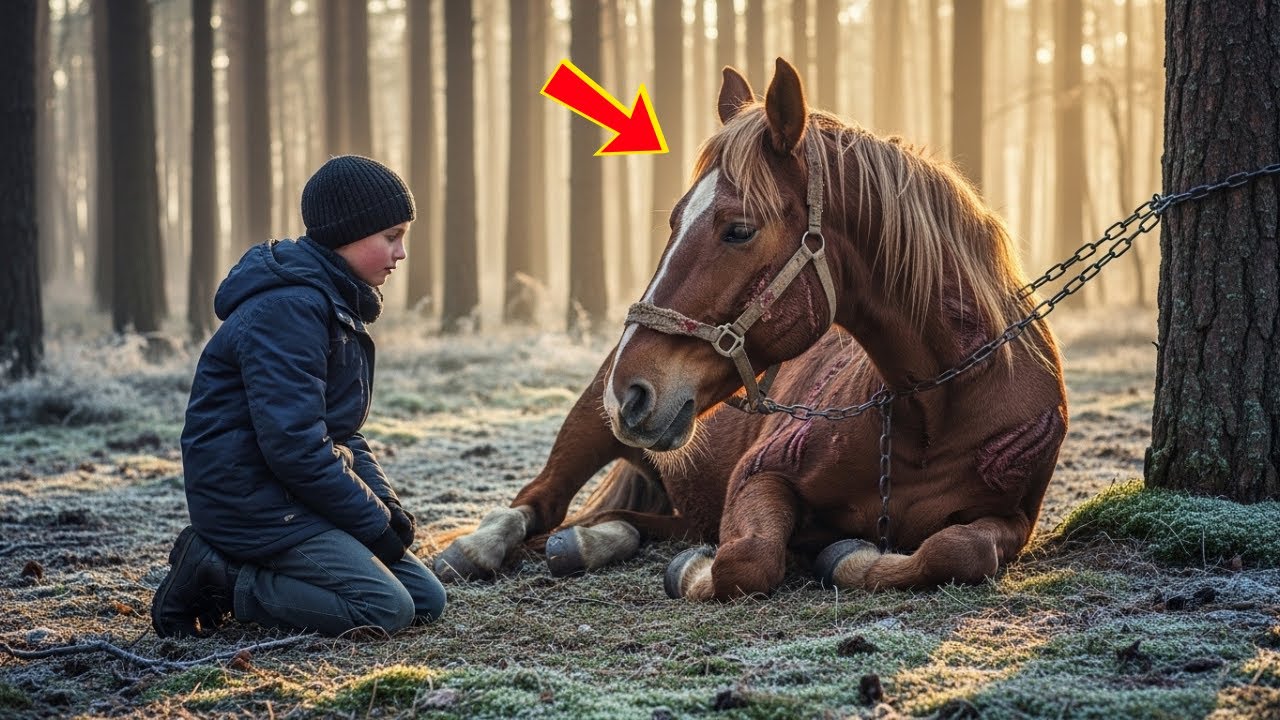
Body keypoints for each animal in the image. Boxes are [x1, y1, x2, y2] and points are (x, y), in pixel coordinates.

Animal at [433, 58, 1067, 600]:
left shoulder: (1013, 519)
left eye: (738, 229)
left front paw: (848, 556)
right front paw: (697, 570)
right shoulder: (760, 473)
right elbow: (749, 559)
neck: (931, 413)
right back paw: (474, 550)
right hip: (590, 421)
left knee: (624, 521)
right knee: (539, 502)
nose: (630, 393)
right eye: (673, 220)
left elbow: (959, 551)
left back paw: (592, 542)